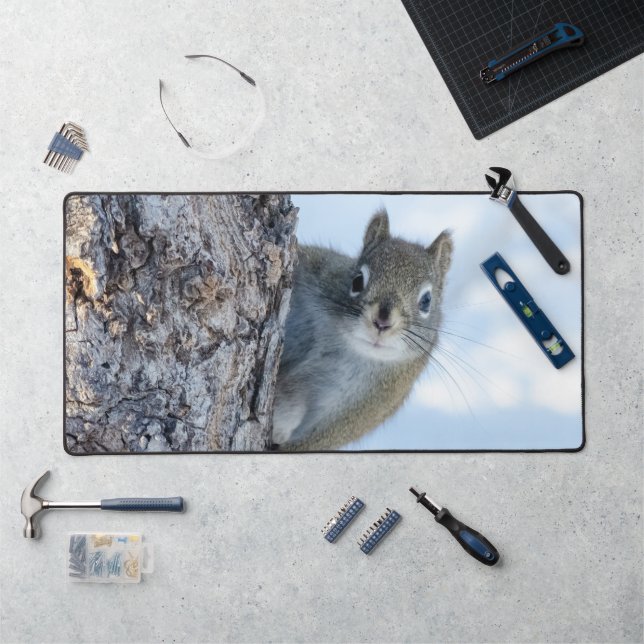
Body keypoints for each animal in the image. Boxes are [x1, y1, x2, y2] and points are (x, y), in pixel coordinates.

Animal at [272, 208, 453, 451]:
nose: (382, 322)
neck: (346, 345)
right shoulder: (319, 269)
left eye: (426, 301)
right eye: (357, 280)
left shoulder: (363, 408)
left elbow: (313, 440)